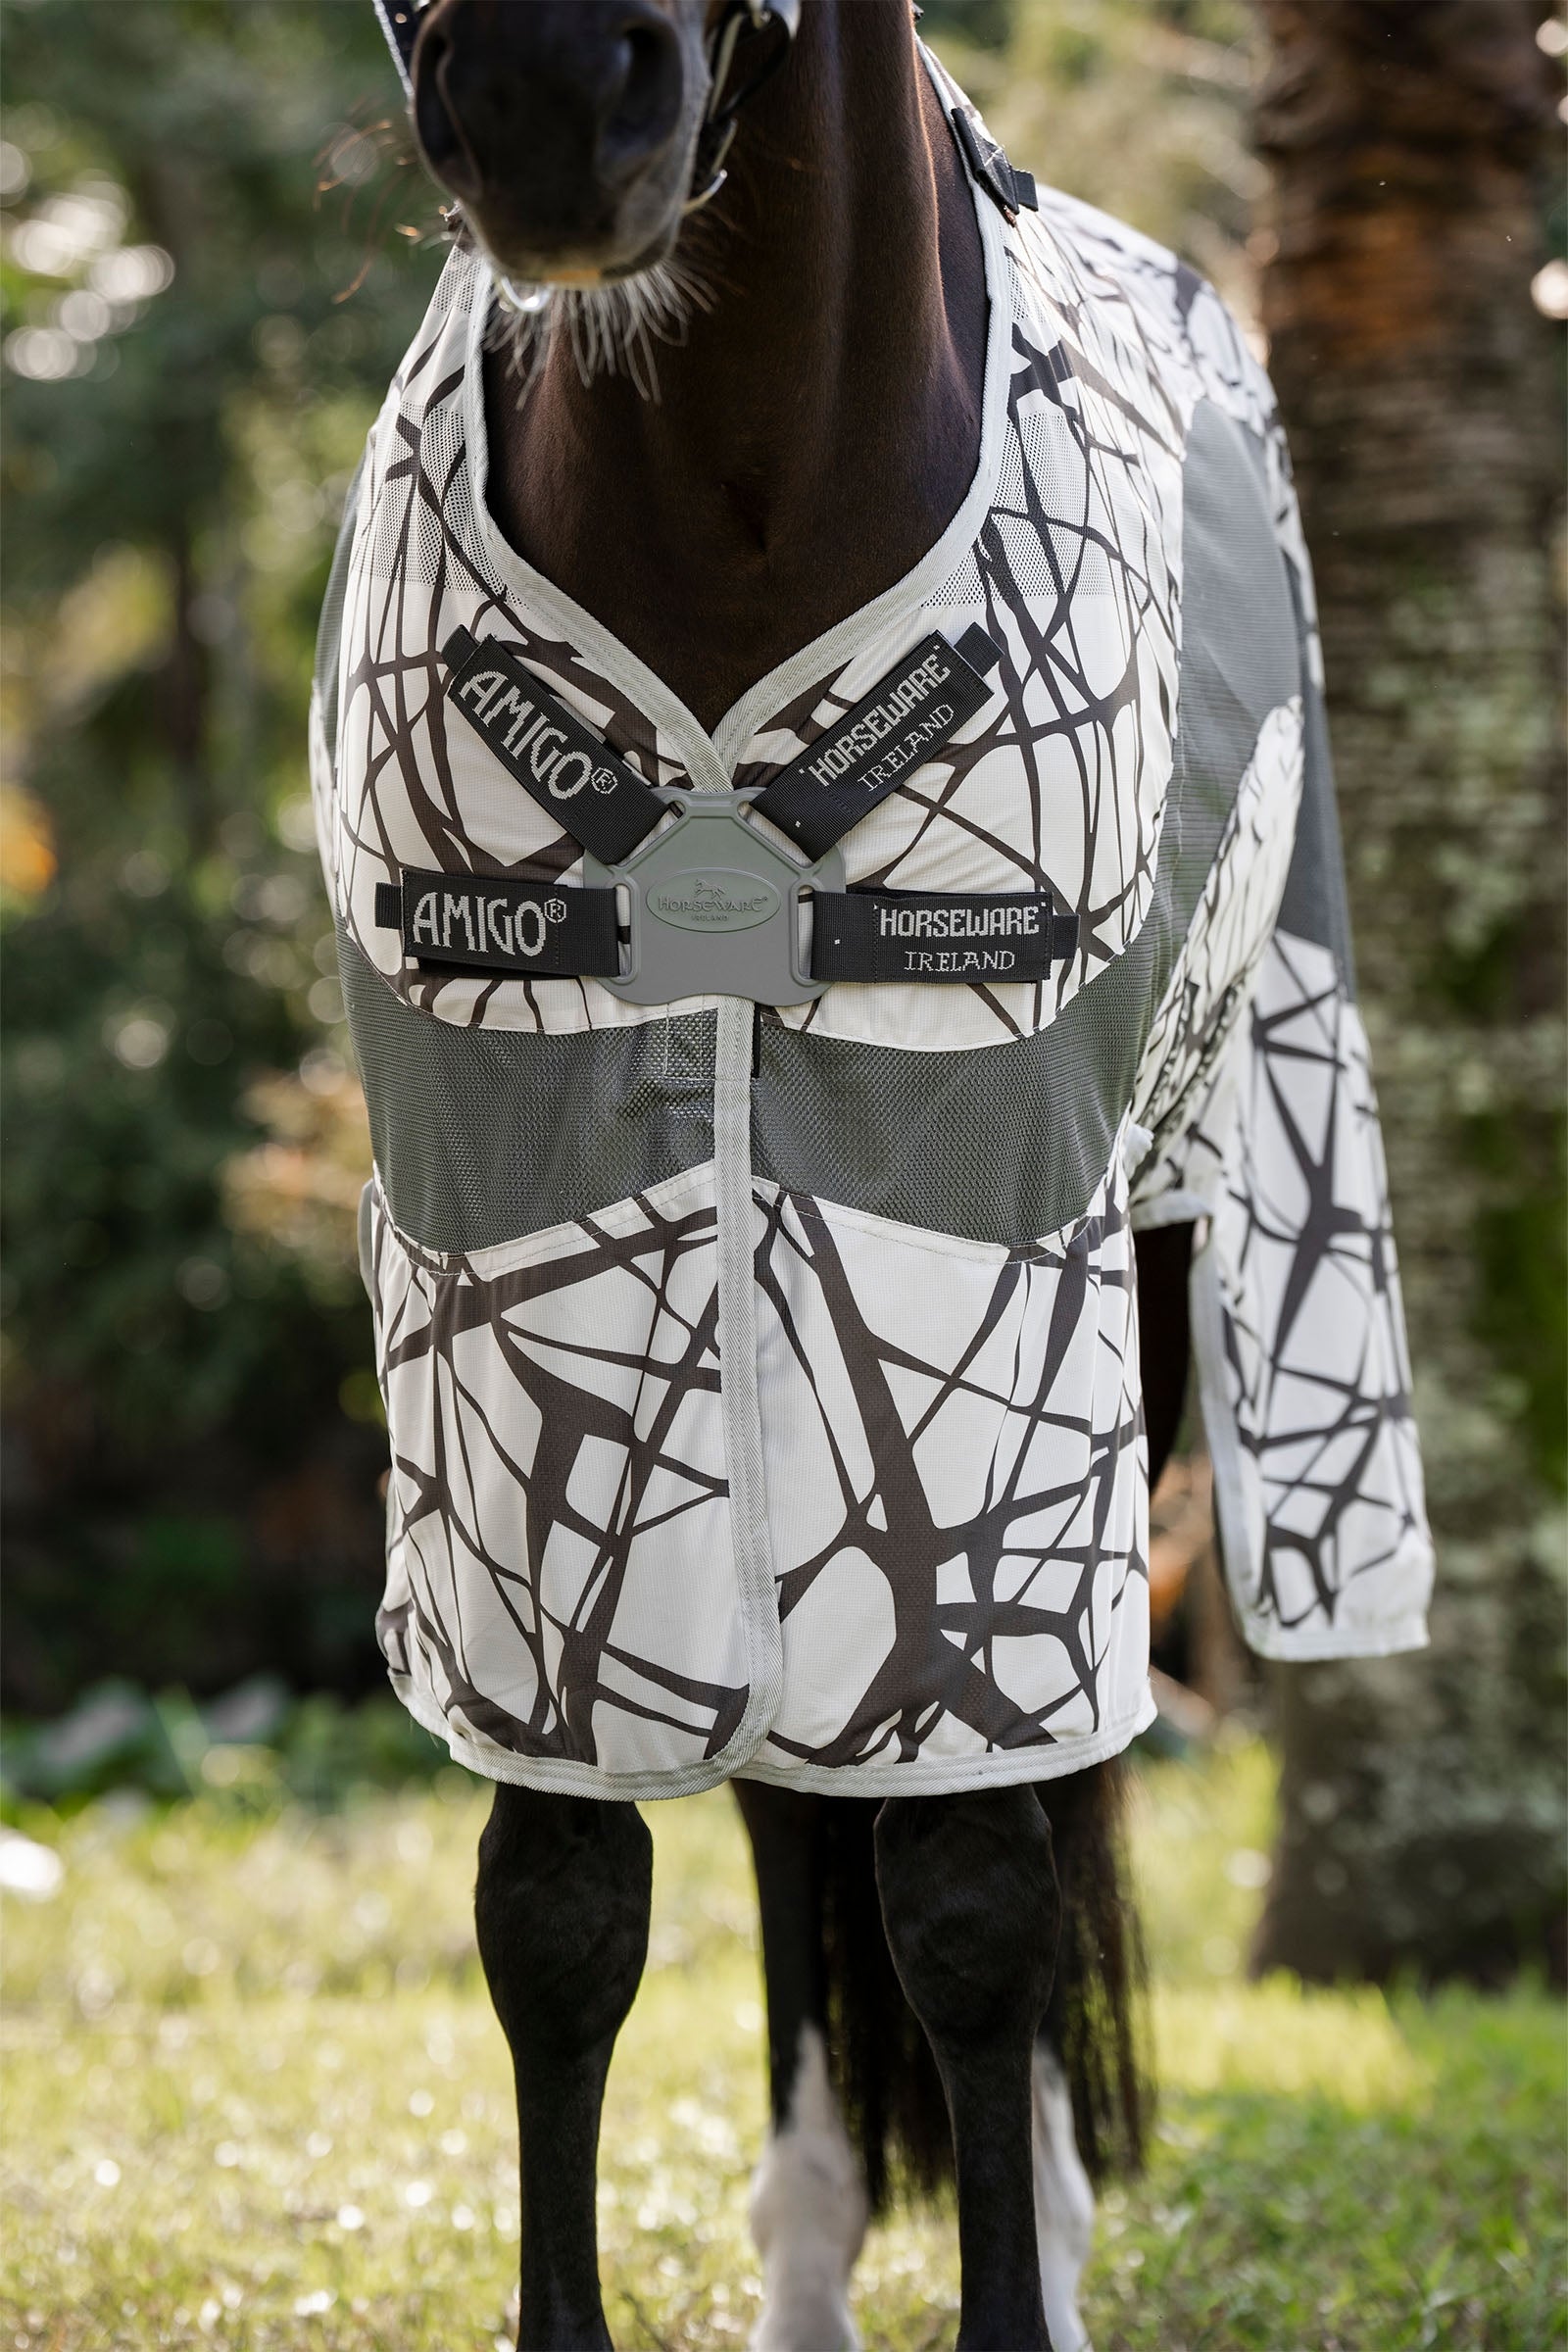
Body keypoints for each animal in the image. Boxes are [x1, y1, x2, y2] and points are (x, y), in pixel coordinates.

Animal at [354, 2, 1200, 2344]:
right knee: (781, 1818)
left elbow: (977, 1889)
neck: (742, 513)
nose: (552, 108)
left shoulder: (982, 1309)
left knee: (1024, 1790)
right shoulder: (530, 1341)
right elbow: (562, 1905)